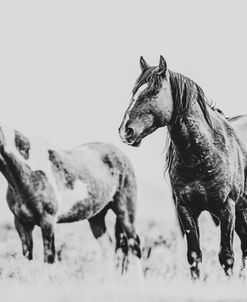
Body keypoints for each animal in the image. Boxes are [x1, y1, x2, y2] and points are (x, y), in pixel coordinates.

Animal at [0, 122, 141, 272]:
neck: (28, 172)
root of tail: (121, 154)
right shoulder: (21, 223)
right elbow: (27, 259)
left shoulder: (47, 222)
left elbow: (49, 259)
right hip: (96, 217)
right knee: (108, 248)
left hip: (125, 211)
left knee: (134, 245)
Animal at [119, 56, 247, 278]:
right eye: (134, 91)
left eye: (154, 91)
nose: (125, 130)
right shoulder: (186, 209)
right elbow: (194, 256)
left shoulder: (227, 208)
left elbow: (226, 256)